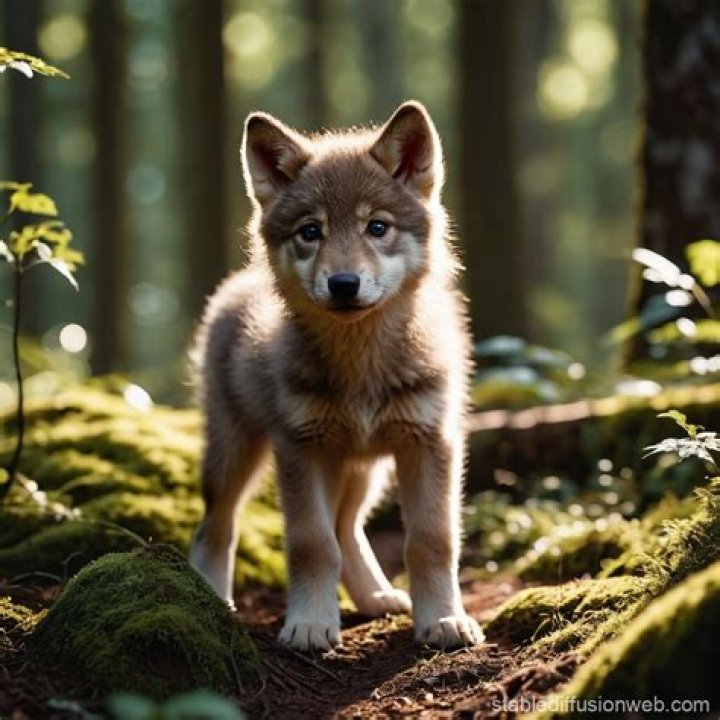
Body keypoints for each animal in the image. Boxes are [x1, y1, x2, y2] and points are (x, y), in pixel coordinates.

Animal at [189, 101, 483, 652]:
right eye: (311, 232)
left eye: (377, 227)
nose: (343, 283)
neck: (360, 364)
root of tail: (233, 286)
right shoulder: (301, 449)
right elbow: (311, 544)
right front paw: (308, 624)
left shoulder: (430, 443)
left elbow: (430, 540)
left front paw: (443, 619)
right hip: (237, 452)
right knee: (217, 525)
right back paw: (211, 599)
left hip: (365, 469)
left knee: (348, 529)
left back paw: (376, 597)